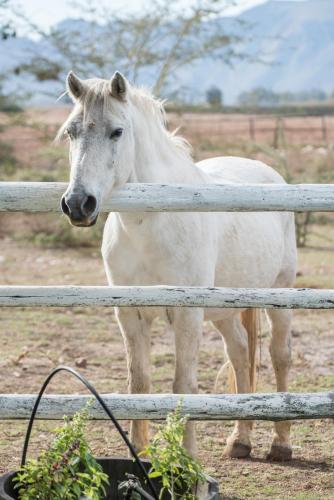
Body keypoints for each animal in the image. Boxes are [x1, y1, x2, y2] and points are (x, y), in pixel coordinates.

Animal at [58, 71, 296, 460]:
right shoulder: (130, 314)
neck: (153, 222)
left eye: (117, 131)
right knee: (241, 354)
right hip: (225, 310)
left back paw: (281, 443)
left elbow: (183, 382)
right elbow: (139, 381)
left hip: (280, 295)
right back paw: (240, 440)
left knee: (279, 356)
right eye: (71, 132)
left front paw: (186, 458)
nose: (78, 204)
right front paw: (139, 454)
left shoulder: (187, 314)